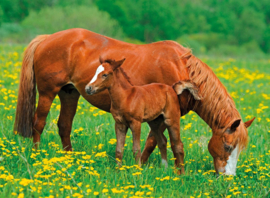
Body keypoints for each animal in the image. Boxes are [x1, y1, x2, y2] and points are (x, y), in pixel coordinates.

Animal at [14, 28, 255, 175]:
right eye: (227, 146)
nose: (228, 178)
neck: (181, 67)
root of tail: (47, 38)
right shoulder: (164, 115)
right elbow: (152, 142)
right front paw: (144, 166)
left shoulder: (158, 115)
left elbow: (154, 141)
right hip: (48, 92)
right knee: (38, 123)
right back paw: (37, 155)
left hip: (69, 93)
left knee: (64, 125)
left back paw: (70, 159)